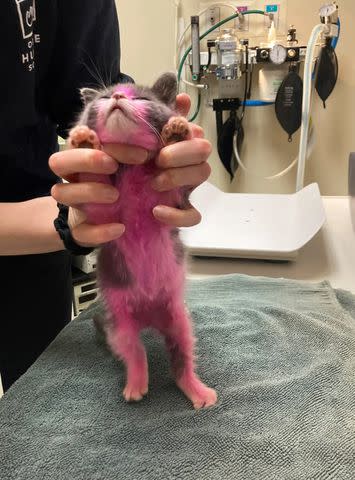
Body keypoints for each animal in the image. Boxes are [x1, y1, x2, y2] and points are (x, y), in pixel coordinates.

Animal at [67, 71, 217, 408]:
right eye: (103, 98)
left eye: (141, 98)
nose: (118, 97)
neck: (133, 169)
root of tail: (149, 318)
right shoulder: (105, 211)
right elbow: (94, 189)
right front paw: (83, 140)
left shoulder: (171, 200)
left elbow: (174, 185)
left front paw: (177, 132)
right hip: (120, 324)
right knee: (135, 351)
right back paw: (136, 382)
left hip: (178, 318)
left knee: (181, 355)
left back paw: (196, 389)